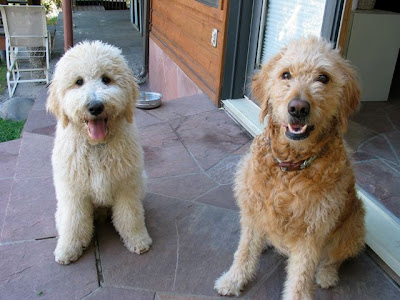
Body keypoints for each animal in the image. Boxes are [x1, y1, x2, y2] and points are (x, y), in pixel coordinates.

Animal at [47, 40, 152, 264]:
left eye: (106, 79)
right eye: (78, 81)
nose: (95, 106)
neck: (96, 145)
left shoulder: (126, 185)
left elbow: (130, 215)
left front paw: (138, 239)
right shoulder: (73, 192)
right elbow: (74, 222)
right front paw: (68, 248)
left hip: (141, 181)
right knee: (64, 217)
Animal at [216, 36, 366, 298]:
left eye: (323, 77)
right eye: (286, 74)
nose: (298, 108)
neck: (291, 166)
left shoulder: (313, 230)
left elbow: (301, 277)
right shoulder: (253, 209)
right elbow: (244, 251)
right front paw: (233, 280)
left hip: (354, 226)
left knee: (334, 258)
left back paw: (327, 274)